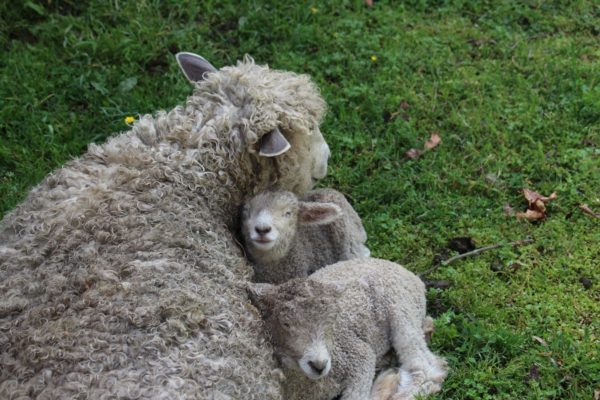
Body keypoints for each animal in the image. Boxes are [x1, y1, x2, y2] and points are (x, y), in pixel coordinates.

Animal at [246, 258, 448, 398]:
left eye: (332, 319)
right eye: (286, 323)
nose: (319, 365)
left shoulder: (359, 355)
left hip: (401, 308)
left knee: (428, 368)